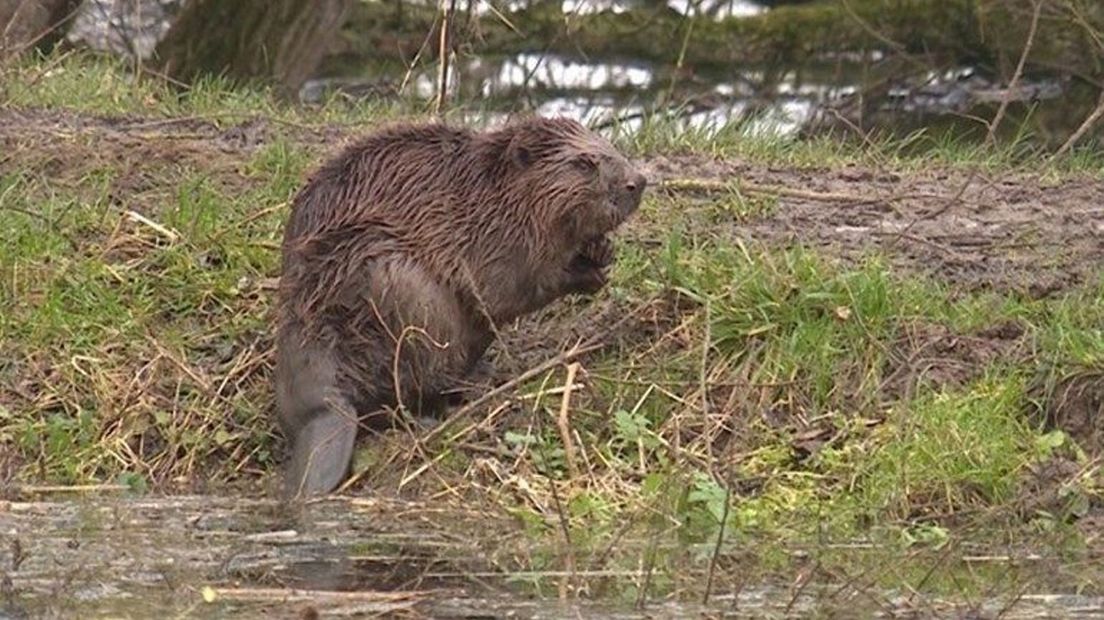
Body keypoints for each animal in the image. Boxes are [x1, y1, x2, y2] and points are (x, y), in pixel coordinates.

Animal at [270, 115, 644, 498]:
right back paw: (461, 394)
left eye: (610, 146)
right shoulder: (495, 238)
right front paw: (587, 271)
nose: (638, 182)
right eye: (584, 164)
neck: (491, 190)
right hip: (398, 286)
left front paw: (602, 250)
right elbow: (515, 288)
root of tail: (322, 405)